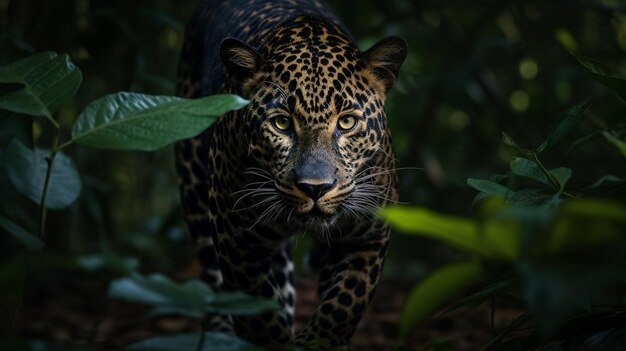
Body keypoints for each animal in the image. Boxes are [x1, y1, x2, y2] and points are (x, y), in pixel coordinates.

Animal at [174, 0, 404, 348]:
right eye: (281, 123)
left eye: (347, 122)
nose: (316, 188)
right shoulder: (235, 239)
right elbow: (260, 319)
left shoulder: (366, 236)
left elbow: (342, 307)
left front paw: (315, 340)